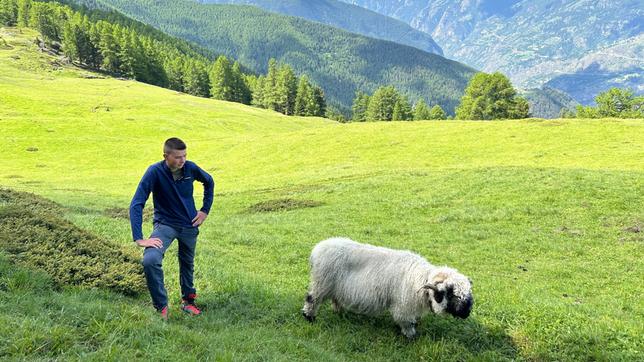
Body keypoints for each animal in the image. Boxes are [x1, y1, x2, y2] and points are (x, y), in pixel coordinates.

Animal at [302, 236, 472, 338]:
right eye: (451, 294)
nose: (466, 314)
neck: (420, 278)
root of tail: (317, 249)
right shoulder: (404, 306)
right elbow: (406, 322)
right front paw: (410, 335)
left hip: (335, 286)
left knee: (335, 298)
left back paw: (339, 312)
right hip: (321, 283)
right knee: (312, 299)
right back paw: (309, 317)